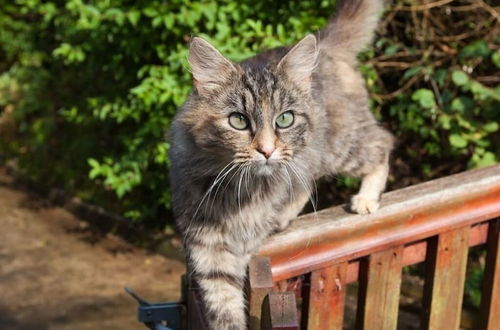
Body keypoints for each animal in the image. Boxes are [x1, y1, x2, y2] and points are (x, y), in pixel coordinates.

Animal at [169, 0, 394, 328]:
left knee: (383, 142)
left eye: (284, 119)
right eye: (238, 120)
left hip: (337, 147)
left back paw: (365, 198)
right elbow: (225, 312)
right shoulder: (209, 250)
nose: (266, 150)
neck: (241, 190)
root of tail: (325, 45)